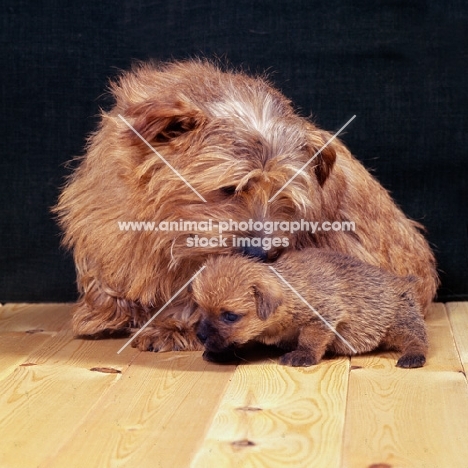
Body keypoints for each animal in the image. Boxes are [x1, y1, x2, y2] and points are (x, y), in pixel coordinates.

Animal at [54, 59, 438, 352]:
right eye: (230, 188)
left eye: (283, 196)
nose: (263, 253)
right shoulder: (102, 215)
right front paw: (104, 312)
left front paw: (175, 328)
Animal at [191, 250, 428, 368]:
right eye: (201, 309)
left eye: (230, 316)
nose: (200, 336)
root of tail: (403, 281)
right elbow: (244, 340)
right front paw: (222, 352)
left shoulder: (322, 316)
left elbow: (310, 339)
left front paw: (302, 355)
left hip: (402, 320)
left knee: (417, 340)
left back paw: (413, 356)